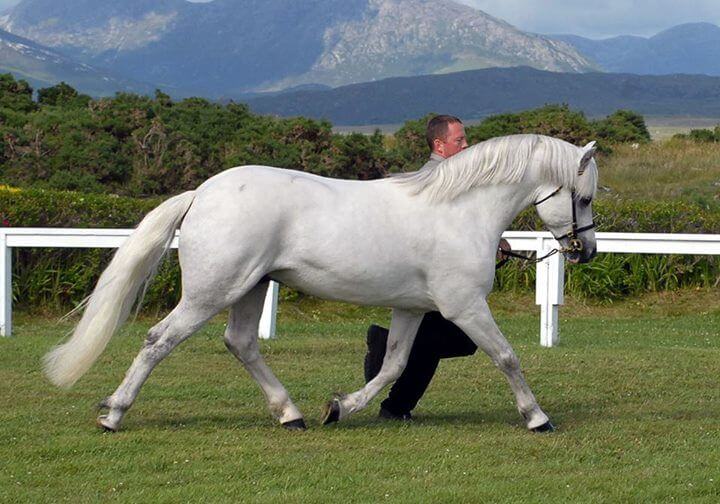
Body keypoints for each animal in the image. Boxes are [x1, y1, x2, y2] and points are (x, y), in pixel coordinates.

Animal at [43, 134, 596, 434]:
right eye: (585, 197)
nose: (585, 250)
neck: (459, 211)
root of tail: (201, 193)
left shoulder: (412, 308)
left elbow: (394, 364)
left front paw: (340, 407)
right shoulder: (464, 307)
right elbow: (506, 357)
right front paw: (538, 418)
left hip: (251, 288)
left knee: (241, 343)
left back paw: (291, 414)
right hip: (211, 292)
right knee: (160, 340)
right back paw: (113, 415)